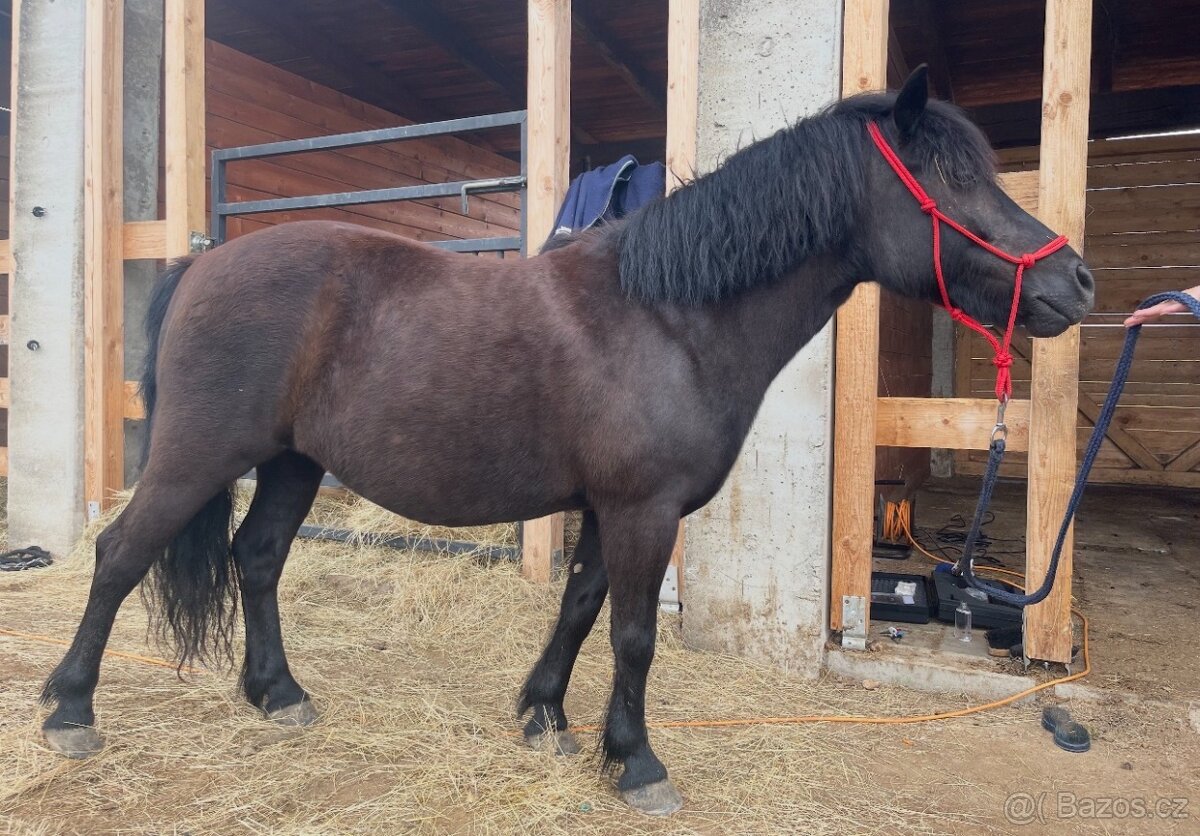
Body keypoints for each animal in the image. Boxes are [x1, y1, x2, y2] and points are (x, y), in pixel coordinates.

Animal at [40, 68, 1093, 815]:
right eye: (952, 179)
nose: (1074, 282)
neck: (669, 317)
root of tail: (204, 263)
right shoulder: (643, 510)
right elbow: (632, 634)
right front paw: (638, 764)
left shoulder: (606, 508)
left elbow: (581, 609)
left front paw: (544, 715)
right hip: (197, 457)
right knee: (119, 554)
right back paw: (70, 709)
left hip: (294, 463)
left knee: (255, 558)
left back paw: (279, 693)